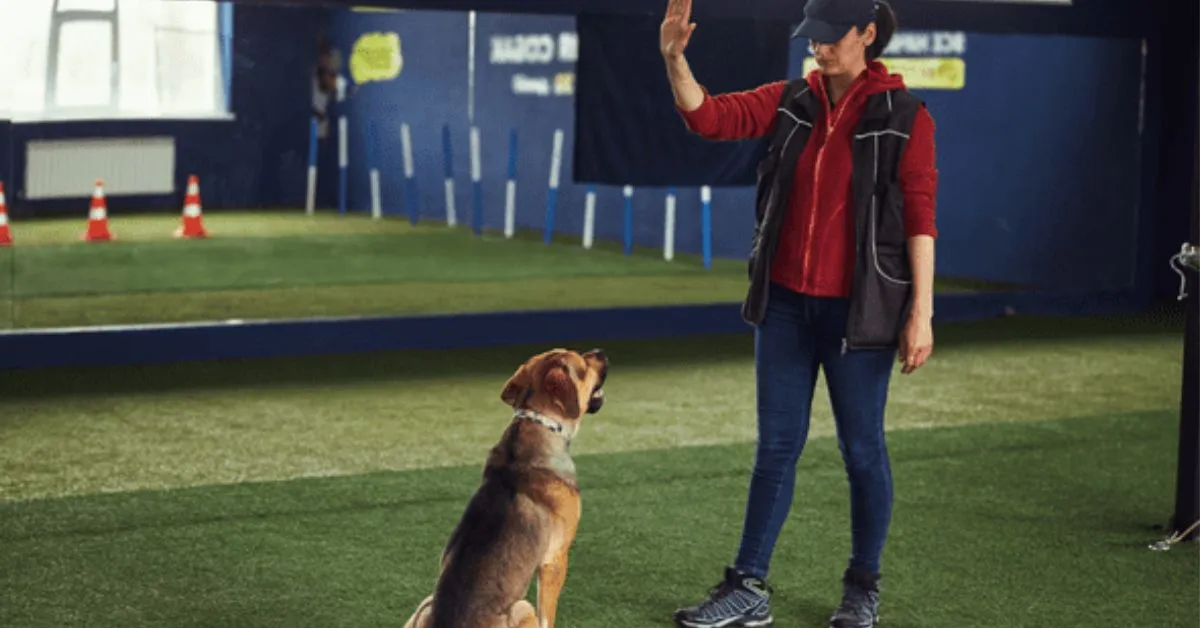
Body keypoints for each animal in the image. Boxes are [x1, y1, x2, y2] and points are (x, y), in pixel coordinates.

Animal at [403, 348, 609, 628]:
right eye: (583, 363)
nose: (601, 351)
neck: (540, 422)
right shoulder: (554, 560)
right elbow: (548, 617)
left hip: (424, 605)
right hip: (522, 606)